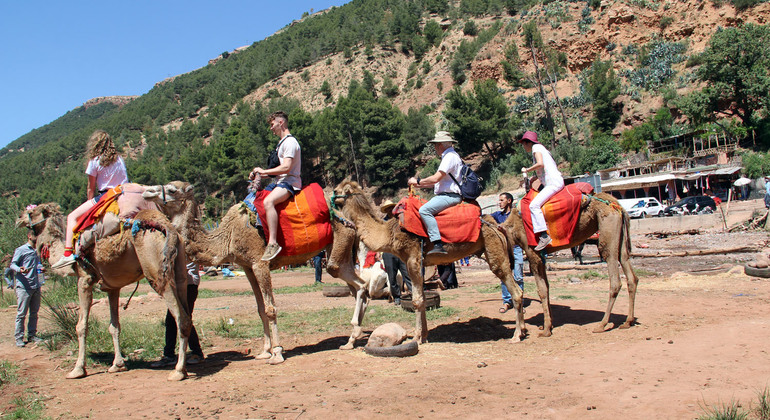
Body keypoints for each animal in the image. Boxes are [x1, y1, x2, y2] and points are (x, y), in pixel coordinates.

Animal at [15, 203, 191, 380]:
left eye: (31, 212)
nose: (18, 219)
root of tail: (167, 227)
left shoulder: (84, 279)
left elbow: (81, 326)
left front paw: (78, 369)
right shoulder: (113, 287)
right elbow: (114, 326)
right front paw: (118, 365)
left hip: (156, 271)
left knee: (180, 318)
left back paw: (178, 371)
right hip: (179, 270)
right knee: (186, 313)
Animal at [144, 180, 372, 360]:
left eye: (172, 189)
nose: (147, 192)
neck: (228, 235)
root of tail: (347, 215)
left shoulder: (259, 263)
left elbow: (270, 309)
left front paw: (277, 353)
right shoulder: (247, 267)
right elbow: (260, 309)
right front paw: (264, 351)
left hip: (338, 249)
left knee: (360, 284)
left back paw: (353, 334)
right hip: (343, 251)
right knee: (356, 288)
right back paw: (353, 338)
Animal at [330, 181, 520, 344]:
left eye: (338, 190)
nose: (331, 197)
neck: (389, 233)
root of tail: (497, 225)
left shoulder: (412, 259)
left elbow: (417, 301)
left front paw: (416, 338)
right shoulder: (418, 262)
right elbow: (420, 298)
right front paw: (425, 335)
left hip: (494, 250)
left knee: (515, 289)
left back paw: (517, 335)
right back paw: (522, 330)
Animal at [498, 192, 636, 336]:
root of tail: (618, 206)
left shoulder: (533, 253)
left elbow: (541, 290)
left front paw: (546, 330)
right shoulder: (542, 256)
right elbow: (547, 287)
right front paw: (549, 325)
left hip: (607, 228)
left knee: (614, 277)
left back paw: (602, 325)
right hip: (620, 235)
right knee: (629, 270)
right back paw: (628, 321)